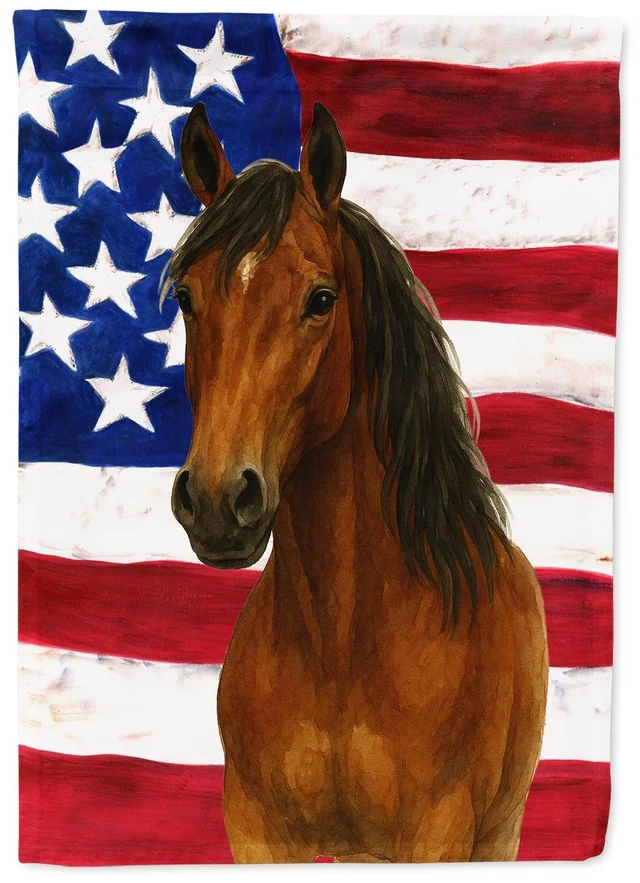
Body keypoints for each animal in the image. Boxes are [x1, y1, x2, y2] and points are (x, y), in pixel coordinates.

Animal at [163, 101, 549, 863]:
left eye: (321, 299)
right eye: (187, 297)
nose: (218, 501)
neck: (340, 651)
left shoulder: (439, 834)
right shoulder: (255, 828)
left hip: (499, 833)